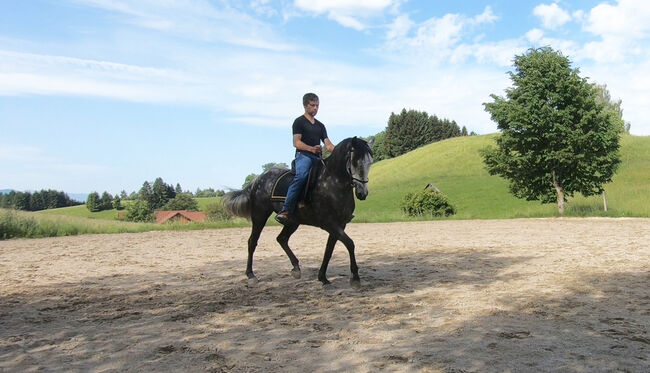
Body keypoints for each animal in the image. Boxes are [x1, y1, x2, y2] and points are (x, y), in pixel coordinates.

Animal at [223, 137, 372, 284]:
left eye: (370, 163)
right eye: (356, 162)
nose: (362, 193)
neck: (332, 183)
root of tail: (258, 179)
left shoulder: (340, 224)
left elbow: (329, 249)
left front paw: (322, 277)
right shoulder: (329, 223)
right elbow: (350, 244)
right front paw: (355, 276)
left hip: (292, 221)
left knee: (281, 239)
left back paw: (296, 268)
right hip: (259, 215)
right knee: (252, 242)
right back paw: (251, 274)